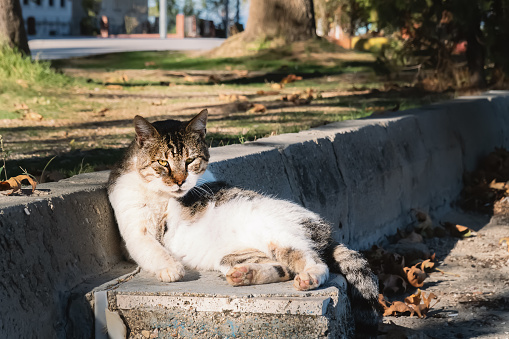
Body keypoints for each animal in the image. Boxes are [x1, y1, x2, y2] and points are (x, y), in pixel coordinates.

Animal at [108, 109, 380, 338]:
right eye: (162, 163)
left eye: (190, 161)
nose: (179, 181)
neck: (161, 196)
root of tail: (323, 227)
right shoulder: (135, 230)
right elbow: (151, 247)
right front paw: (171, 266)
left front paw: (171, 268)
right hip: (233, 256)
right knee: (282, 268)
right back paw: (244, 275)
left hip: (280, 236)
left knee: (315, 263)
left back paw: (308, 278)